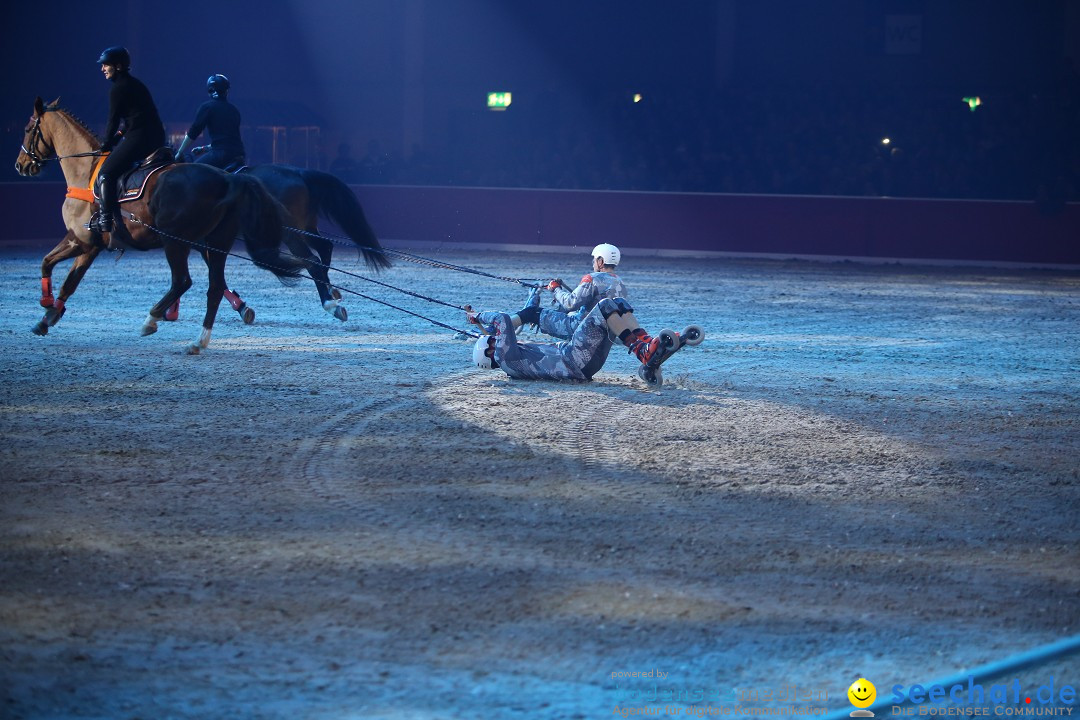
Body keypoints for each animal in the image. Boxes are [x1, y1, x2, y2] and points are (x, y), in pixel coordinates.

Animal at [14, 95, 311, 354]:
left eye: (28, 128)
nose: (21, 165)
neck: (85, 172)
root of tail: (228, 179)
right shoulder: (91, 246)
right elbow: (68, 281)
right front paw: (48, 316)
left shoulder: (79, 239)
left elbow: (48, 264)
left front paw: (47, 305)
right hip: (214, 242)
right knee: (214, 286)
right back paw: (199, 339)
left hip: (174, 240)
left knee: (182, 281)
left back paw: (153, 319)